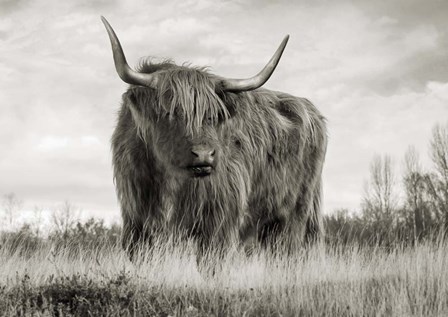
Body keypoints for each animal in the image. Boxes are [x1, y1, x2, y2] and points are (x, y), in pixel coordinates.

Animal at [100, 16, 326, 260]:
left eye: (214, 115)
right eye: (169, 112)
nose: (204, 155)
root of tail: (310, 110)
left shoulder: (219, 222)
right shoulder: (136, 222)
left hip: (294, 215)